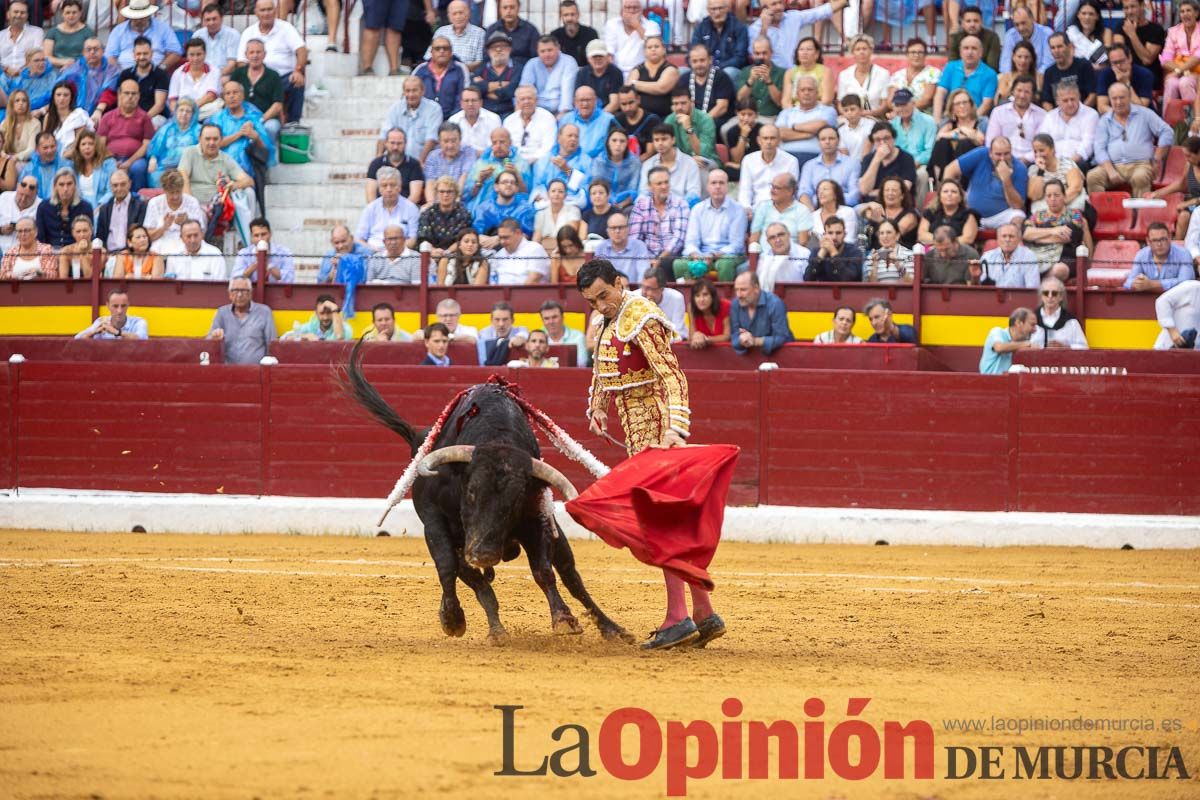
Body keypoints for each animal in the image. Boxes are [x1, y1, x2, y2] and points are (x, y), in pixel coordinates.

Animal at [343, 345, 633, 642]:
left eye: (515, 500)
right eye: (470, 491)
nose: (483, 554)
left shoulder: (534, 519)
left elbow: (543, 571)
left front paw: (563, 618)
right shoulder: (434, 522)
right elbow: (448, 567)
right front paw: (452, 619)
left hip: (553, 536)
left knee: (570, 575)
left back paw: (611, 628)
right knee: (477, 581)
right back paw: (494, 629)